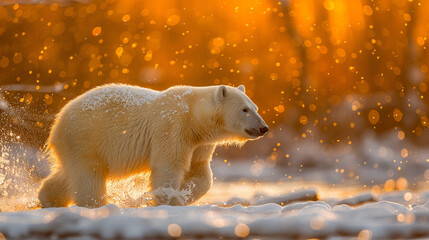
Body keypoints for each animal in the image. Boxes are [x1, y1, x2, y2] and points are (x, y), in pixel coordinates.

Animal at [38, 84, 270, 208]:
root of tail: (57, 123)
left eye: (255, 107)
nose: (264, 128)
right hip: (86, 138)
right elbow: (169, 165)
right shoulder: (173, 128)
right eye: (245, 109)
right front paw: (168, 199)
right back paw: (96, 204)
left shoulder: (200, 143)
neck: (194, 117)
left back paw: (48, 199)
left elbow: (201, 171)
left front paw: (184, 194)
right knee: (89, 176)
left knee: (67, 174)